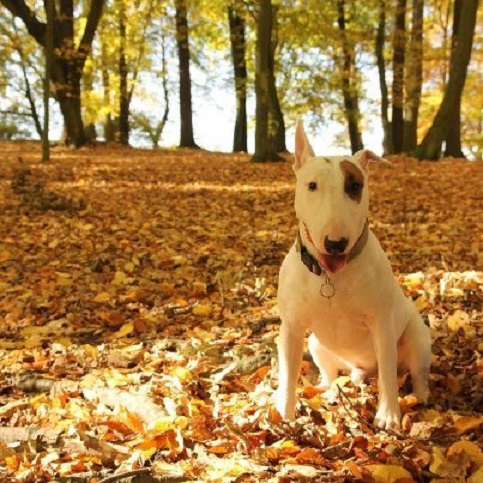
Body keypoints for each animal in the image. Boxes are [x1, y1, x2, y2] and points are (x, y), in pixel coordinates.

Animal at [276, 119, 432, 430]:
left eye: (355, 186)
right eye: (312, 185)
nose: (335, 243)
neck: (330, 276)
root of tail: (361, 369)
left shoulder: (382, 324)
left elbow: (388, 375)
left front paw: (389, 415)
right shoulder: (292, 328)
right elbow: (288, 375)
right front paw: (284, 417)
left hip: (416, 338)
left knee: (413, 371)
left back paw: (420, 394)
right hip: (316, 344)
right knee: (331, 373)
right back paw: (327, 389)